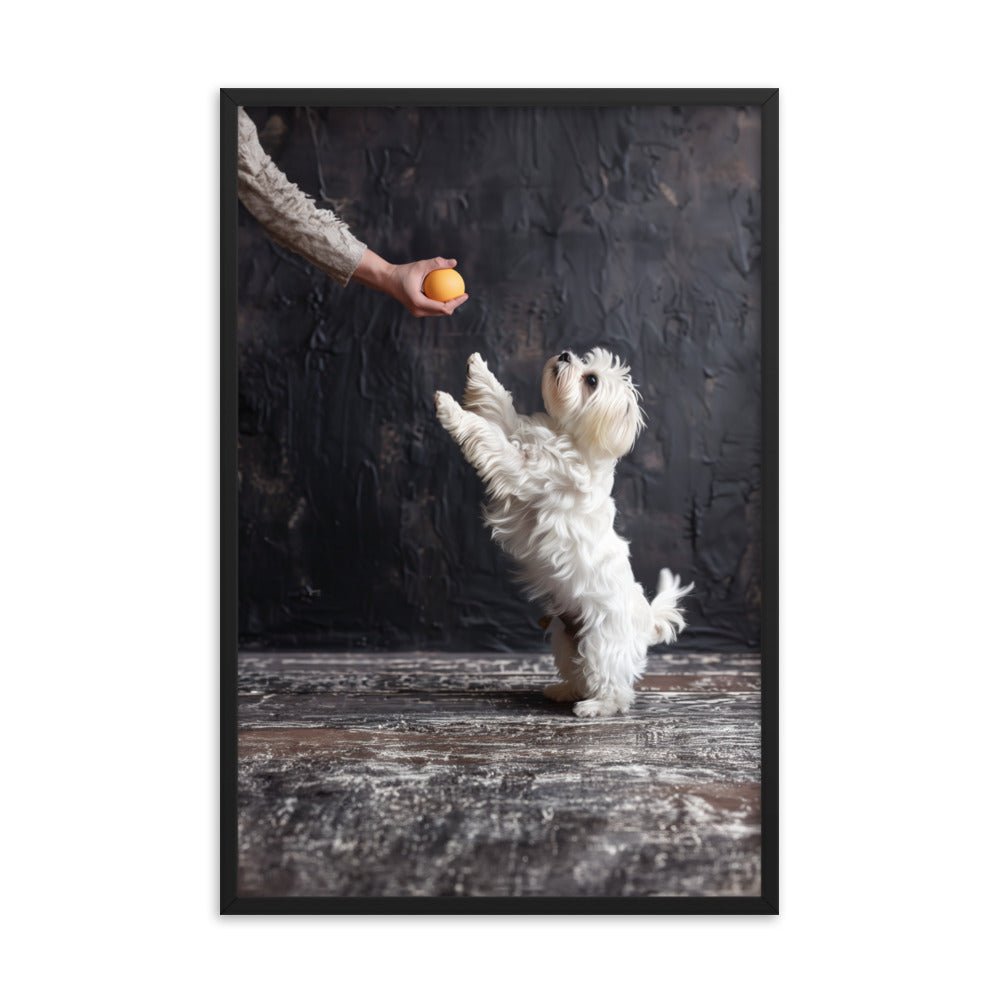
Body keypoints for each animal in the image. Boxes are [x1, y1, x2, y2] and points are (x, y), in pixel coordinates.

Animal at [434, 348, 692, 716]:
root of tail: (646, 619)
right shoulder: (519, 435)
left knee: (616, 689)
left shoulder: (518, 466)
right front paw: (479, 369)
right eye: (585, 360)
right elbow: (499, 406)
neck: (568, 437)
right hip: (565, 640)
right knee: (579, 673)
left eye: (591, 380)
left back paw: (594, 707)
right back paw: (564, 691)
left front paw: (449, 407)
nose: (566, 354)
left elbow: (487, 434)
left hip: (602, 644)